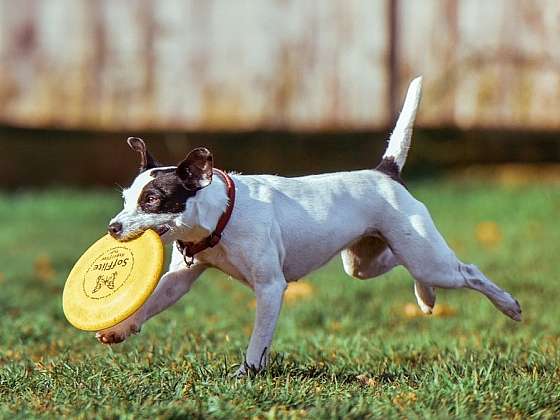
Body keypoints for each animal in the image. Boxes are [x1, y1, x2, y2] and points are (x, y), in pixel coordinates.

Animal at [96, 78, 520, 374]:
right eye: (126, 198)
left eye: (152, 200)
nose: (113, 228)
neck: (220, 216)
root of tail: (385, 173)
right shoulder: (178, 279)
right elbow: (152, 302)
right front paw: (121, 328)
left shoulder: (270, 288)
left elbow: (258, 340)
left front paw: (246, 373)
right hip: (365, 261)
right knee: (400, 264)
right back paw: (425, 297)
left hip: (429, 259)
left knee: (468, 271)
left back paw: (508, 305)